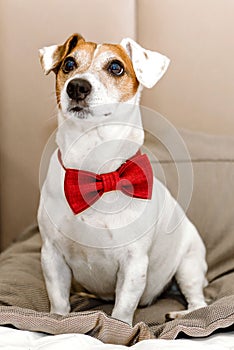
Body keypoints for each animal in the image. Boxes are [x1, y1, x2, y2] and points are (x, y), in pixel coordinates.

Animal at [37, 32, 207, 326]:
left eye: (116, 67)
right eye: (68, 64)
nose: (77, 87)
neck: (96, 173)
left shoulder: (134, 263)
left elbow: (122, 311)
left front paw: (119, 329)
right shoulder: (52, 255)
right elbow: (59, 302)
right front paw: (59, 322)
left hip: (189, 264)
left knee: (199, 300)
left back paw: (183, 314)